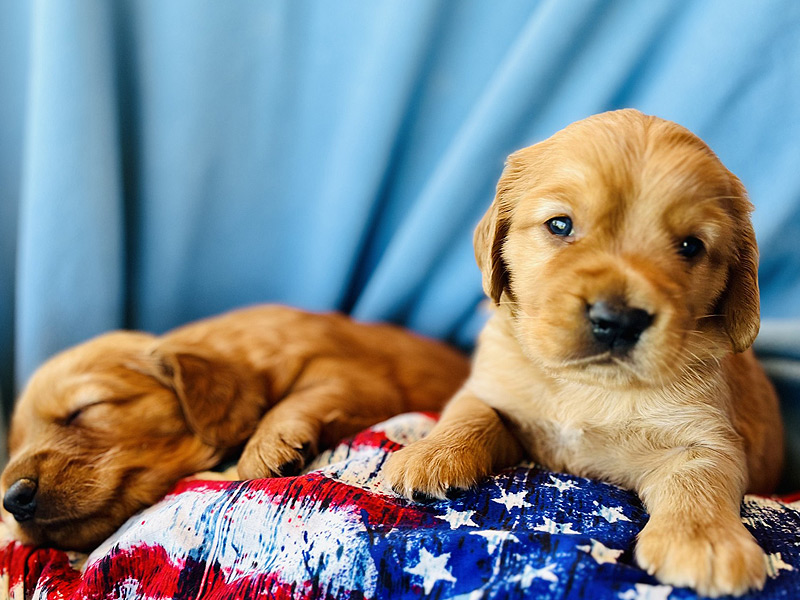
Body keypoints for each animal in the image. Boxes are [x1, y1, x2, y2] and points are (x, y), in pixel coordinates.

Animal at [0, 308, 468, 552]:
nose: (12, 500)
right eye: (15, 443)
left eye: (84, 410)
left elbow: (298, 398)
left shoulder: (356, 376)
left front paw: (266, 446)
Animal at [384, 109, 784, 596]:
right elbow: (470, 412)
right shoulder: (495, 388)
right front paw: (430, 454)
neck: (586, 384)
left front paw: (704, 539)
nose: (618, 319)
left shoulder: (708, 436)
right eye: (560, 225)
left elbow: (700, 476)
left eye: (690, 246)